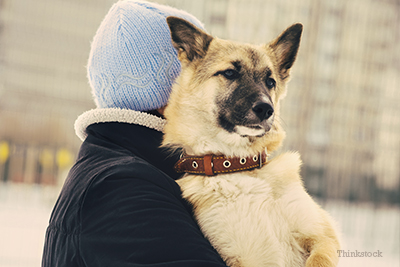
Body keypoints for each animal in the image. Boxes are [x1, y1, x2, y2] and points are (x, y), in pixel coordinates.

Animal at [162, 16, 340, 267]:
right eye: (229, 73)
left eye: (270, 82)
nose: (266, 109)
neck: (238, 165)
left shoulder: (322, 237)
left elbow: (319, 259)